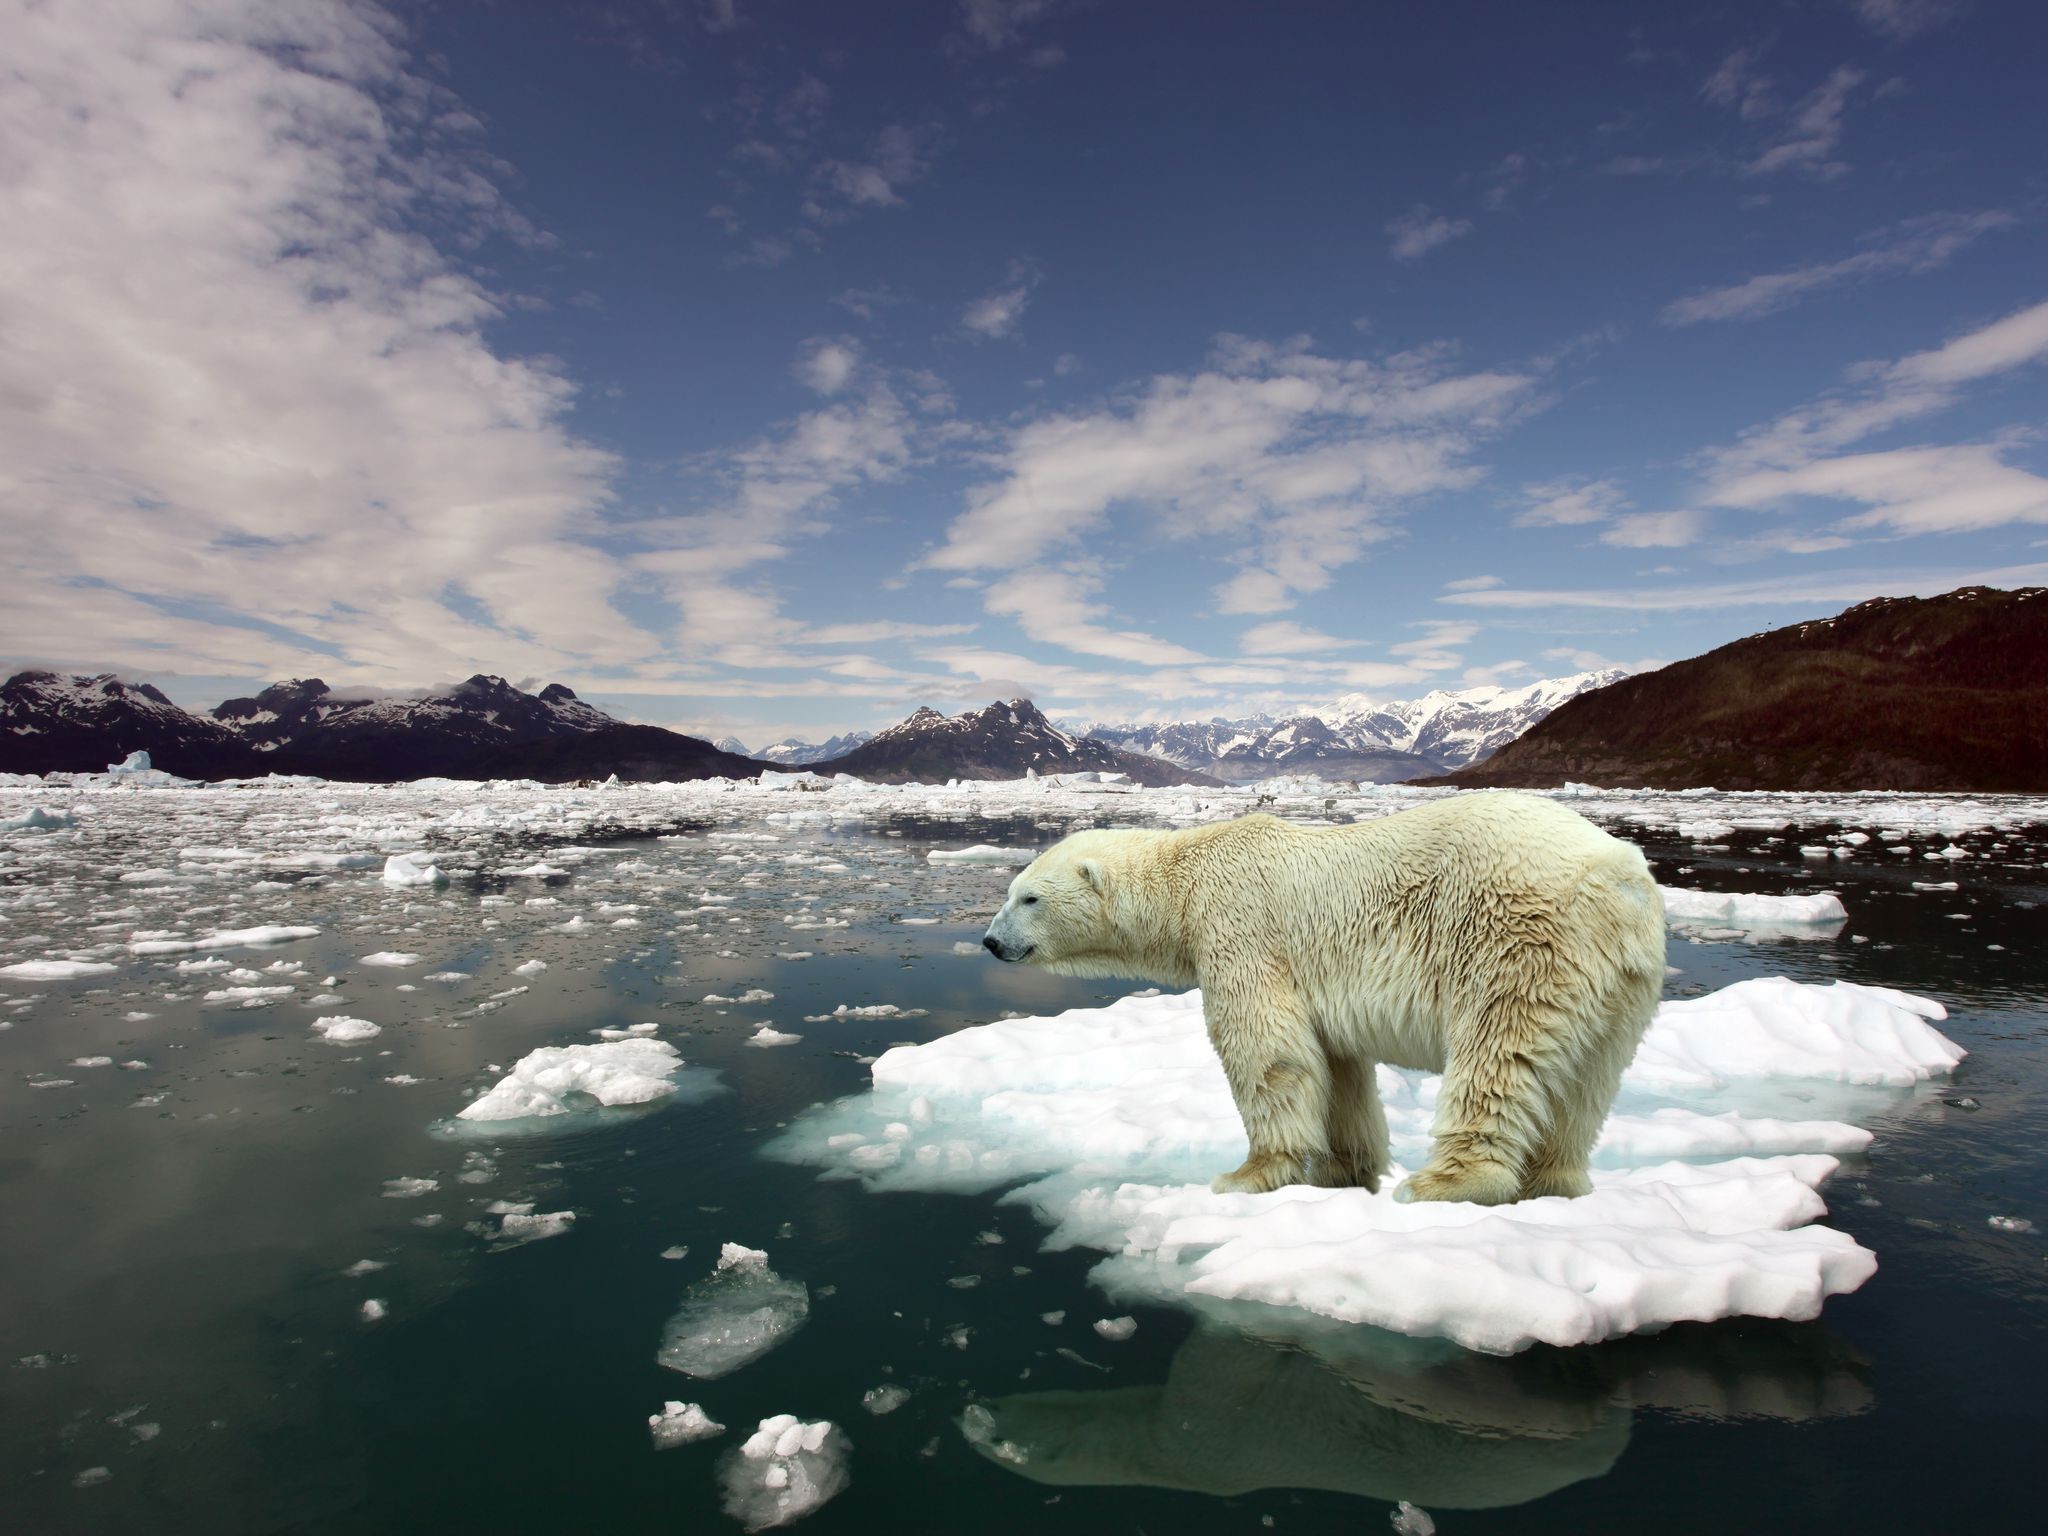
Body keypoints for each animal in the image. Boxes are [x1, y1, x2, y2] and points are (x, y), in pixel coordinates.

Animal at [978, 798, 1662, 1212]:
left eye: (1029, 898)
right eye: (1011, 891)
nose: (989, 941)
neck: (1188, 879)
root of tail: (1620, 875)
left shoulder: (1242, 928)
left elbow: (1266, 1050)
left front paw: (1249, 1174)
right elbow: (1337, 1067)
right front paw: (1343, 1170)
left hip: (1517, 938)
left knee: (1498, 1051)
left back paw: (1444, 1183)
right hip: (1621, 983)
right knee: (1586, 1082)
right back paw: (1554, 1183)